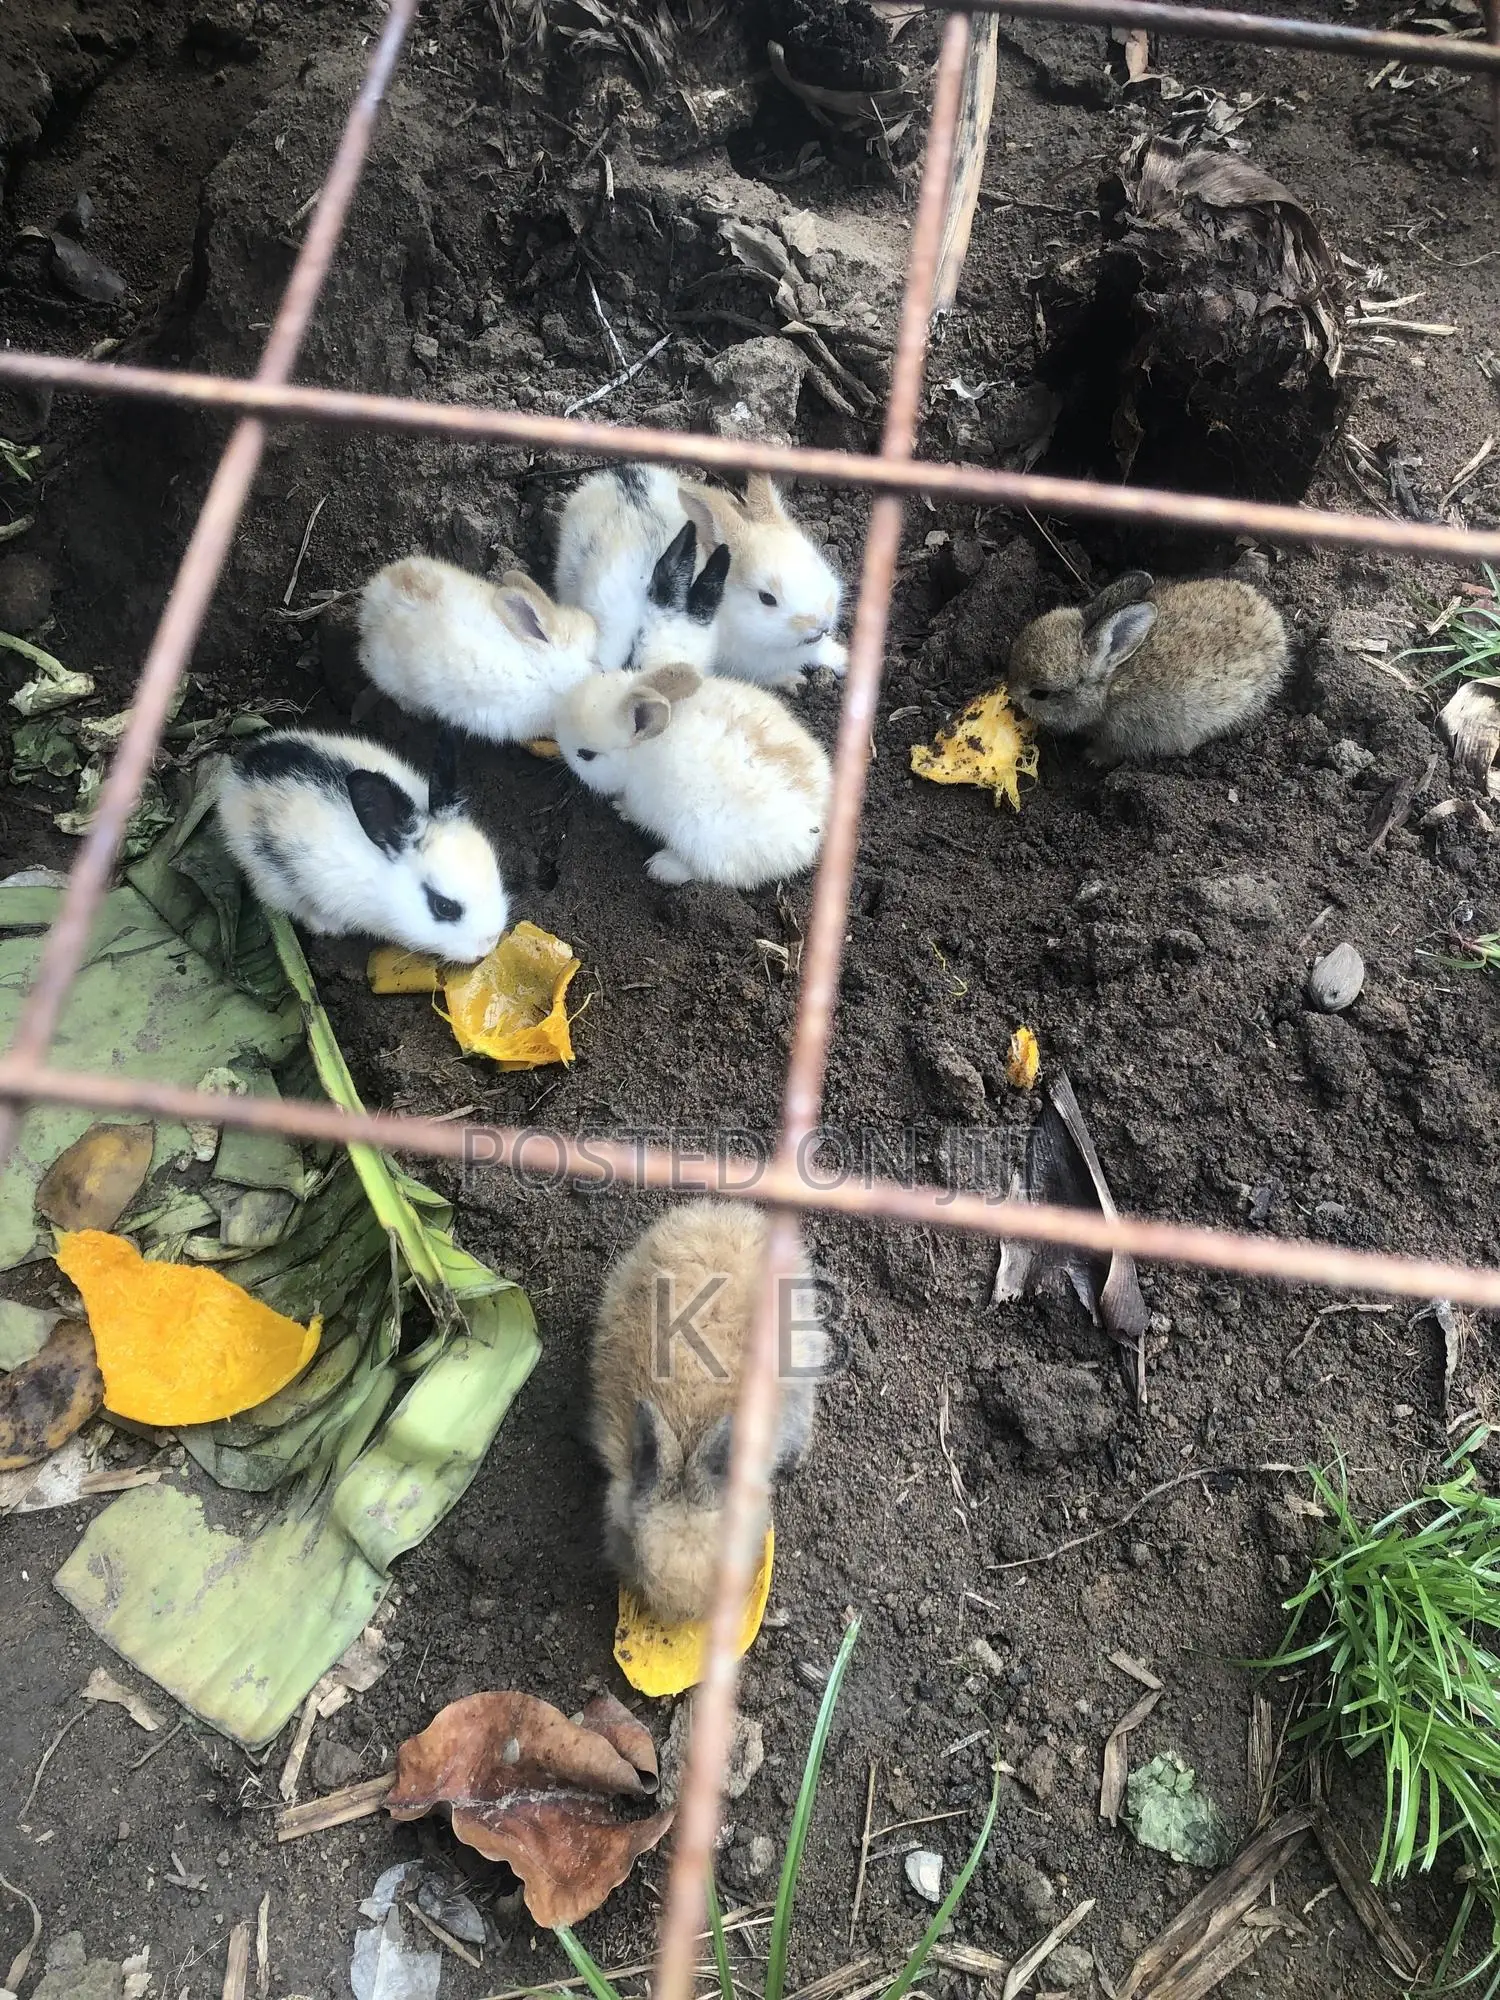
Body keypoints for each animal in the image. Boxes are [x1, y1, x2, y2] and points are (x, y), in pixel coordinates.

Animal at [552, 661, 831, 890]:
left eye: (586, 754)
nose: (560, 748)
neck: (640, 752)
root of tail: (812, 831)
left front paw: (620, 809)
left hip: (705, 843)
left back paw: (662, 867)